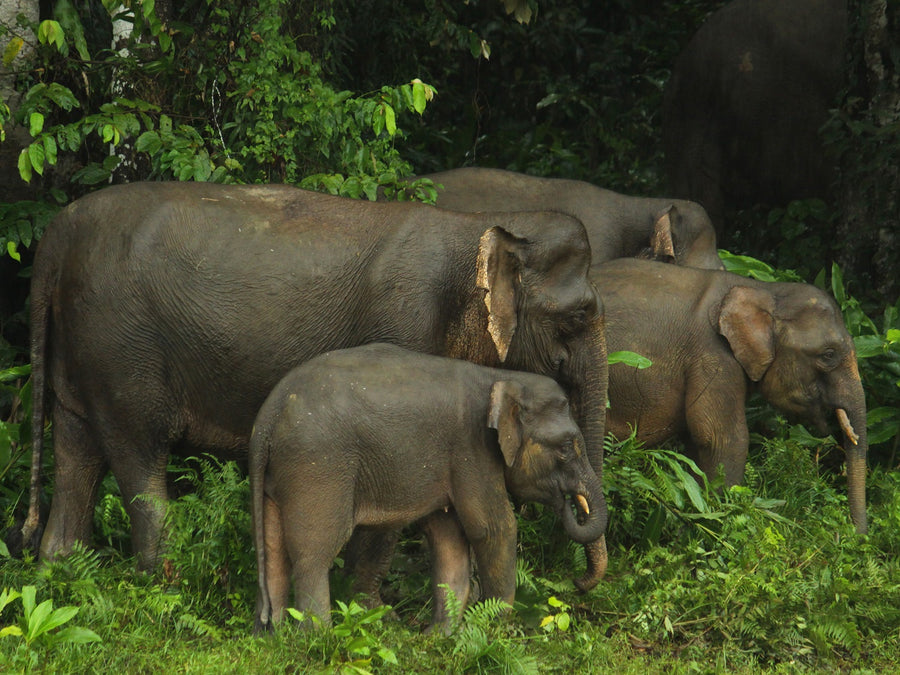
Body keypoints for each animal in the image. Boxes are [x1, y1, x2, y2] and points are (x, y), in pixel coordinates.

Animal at [22, 182, 612, 588]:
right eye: (579, 315)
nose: (578, 581)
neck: (483, 225)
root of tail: (56, 233)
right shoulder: (405, 322)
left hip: (84, 350)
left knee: (76, 451)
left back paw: (60, 571)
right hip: (122, 348)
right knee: (138, 454)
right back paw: (164, 581)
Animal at [250, 344, 608, 632]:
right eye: (567, 447)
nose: (576, 581)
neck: (501, 376)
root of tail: (268, 415)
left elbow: (448, 538)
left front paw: (439, 636)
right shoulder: (471, 450)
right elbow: (493, 528)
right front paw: (496, 629)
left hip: (280, 472)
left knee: (273, 547)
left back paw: (274, 635)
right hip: (318, 466)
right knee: (314, 551)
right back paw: (319, 638)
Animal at [596, 258, 868, 532]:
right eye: (828, 355)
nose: (856, 535)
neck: (763, 290)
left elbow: (697, 444)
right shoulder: (714, 357)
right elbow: (722, 438)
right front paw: (720, 523)